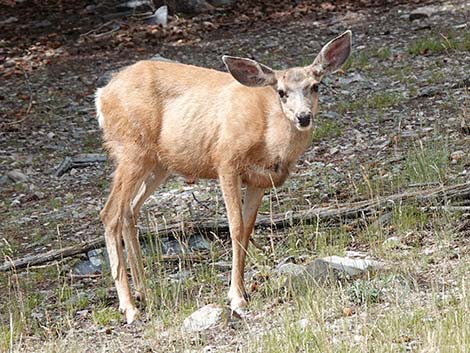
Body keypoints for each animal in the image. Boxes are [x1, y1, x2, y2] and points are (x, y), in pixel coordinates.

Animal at [96, 29, 352, 322]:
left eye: (316, 85)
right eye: (281, 92)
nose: (303, 116)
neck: (268, 137)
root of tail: (102, 95)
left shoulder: (259, 180)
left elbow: (248, 228)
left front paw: (243, 292)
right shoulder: (226, 161)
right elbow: (235, 226)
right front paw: (236, 297)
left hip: (158, 163)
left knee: (129, 210)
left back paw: (144, 293)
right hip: (130, 150)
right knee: (110, 213)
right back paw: (129, 307)